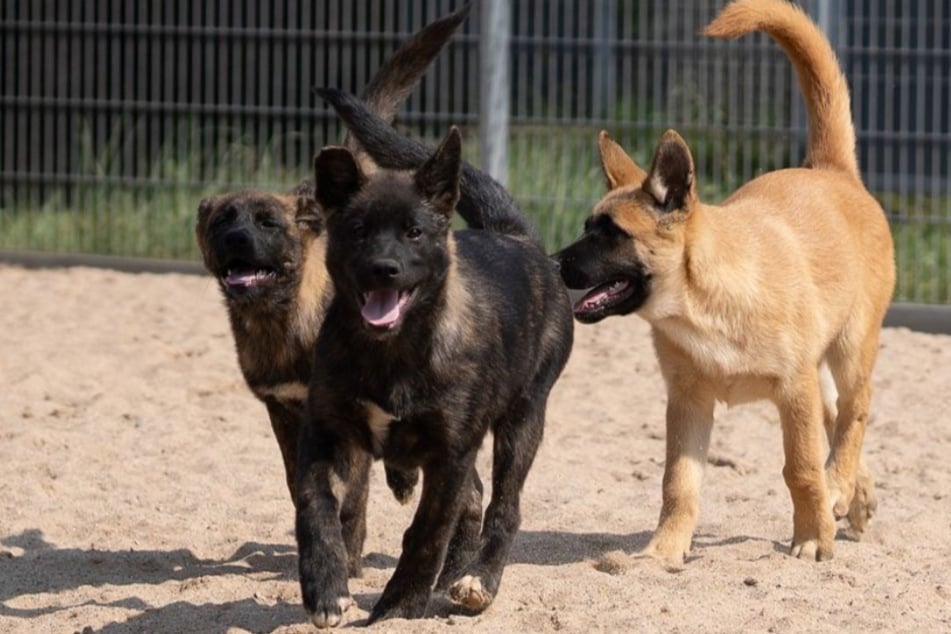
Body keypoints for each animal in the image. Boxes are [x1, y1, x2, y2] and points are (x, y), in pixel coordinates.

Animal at [195, 6, 470, 576]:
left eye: (268, 222)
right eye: (223, 220)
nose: (237, 240)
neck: (281, 324)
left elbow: (354, 502)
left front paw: (347, 557)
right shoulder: (285, 413)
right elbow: (302, 486)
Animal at [296, 112, 572, 624]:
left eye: (414, 232)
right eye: (358, 229)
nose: (383, 268)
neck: (391, 352)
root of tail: (515, 234)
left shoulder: (451, 453)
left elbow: (426, 533)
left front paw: (397, 608)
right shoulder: (324, 429)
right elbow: (314, 505)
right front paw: (325, 589)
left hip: (523, 417)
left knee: (503, 507)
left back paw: (477, 579)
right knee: (473, 495)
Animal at [556, 0, 896, 564]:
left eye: (611, 234)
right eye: (587, 226)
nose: (552, 262)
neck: (701, 306)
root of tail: (832, 172)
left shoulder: (794, 390)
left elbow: (801, 468)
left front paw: (811, 537)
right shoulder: (688, 401)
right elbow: (679, 483)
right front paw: (664, 552)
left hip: (851, 346)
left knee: (855, 412)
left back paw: (840, 485)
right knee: (839, 417)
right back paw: (854, 495)